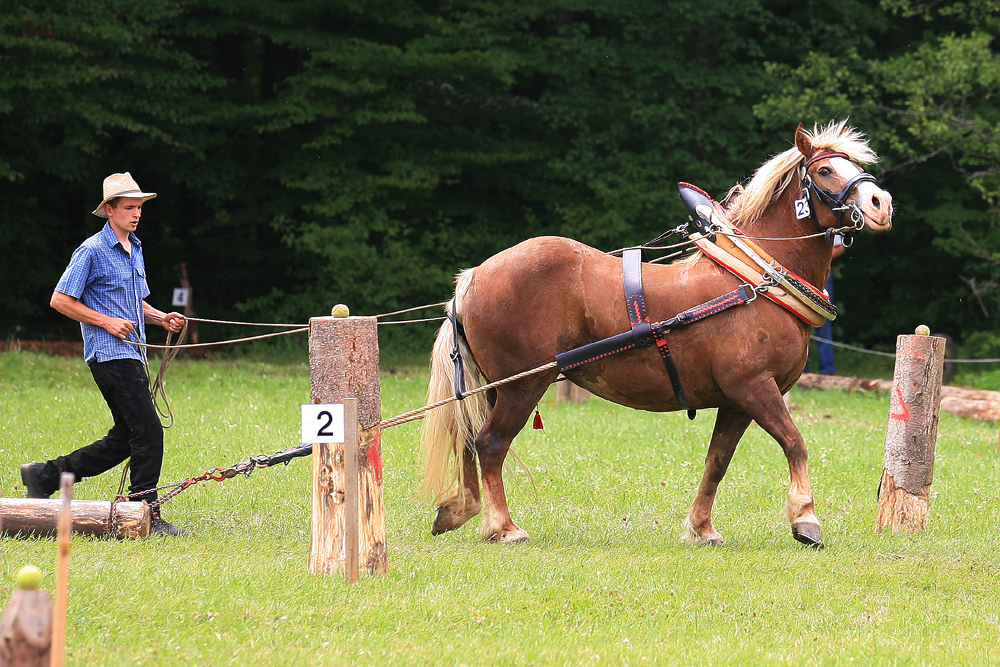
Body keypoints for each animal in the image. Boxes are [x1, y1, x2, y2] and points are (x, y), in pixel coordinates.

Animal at [418, 120, 896, 548]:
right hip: (523, 385)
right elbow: (795, 443)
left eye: (853, 164)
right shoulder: (754, 386)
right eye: (825, 170)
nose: (881, 202)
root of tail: (473, 276)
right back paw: (503, 527)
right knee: (490, 443)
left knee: (469, 439)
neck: (756, 279)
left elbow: (717, 462)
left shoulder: (736, 400)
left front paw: (701, 528)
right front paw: (805, 518)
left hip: (496, 387)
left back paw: (462, 509)